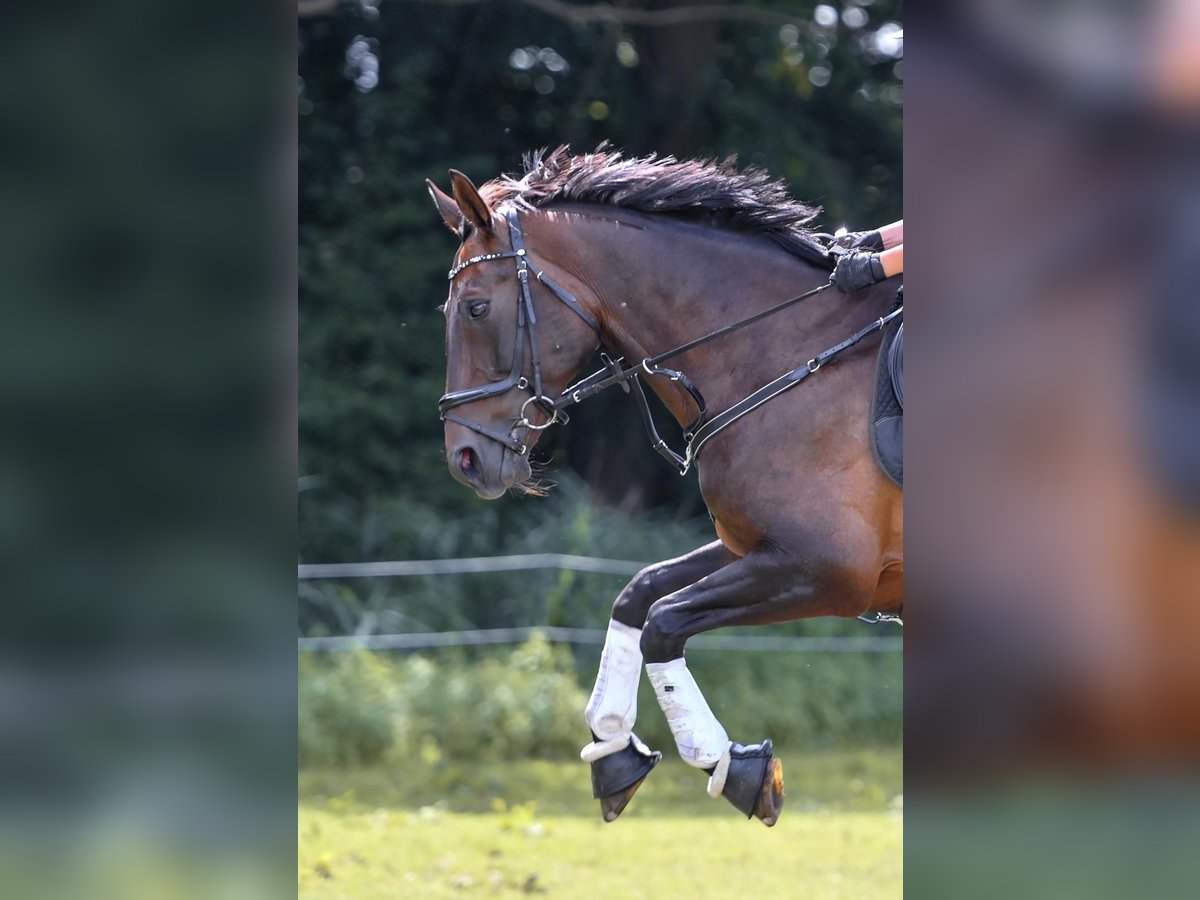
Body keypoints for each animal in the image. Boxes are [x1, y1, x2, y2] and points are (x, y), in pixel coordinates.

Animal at [427, 146, 902, 825]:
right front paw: (612, 749)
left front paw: (731, 767)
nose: (464, 458)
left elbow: (664, 620)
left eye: (474, 308)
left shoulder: (829, 570)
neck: (785, 351)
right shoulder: (756, 548)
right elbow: (638, 594)